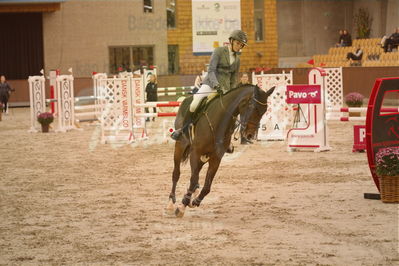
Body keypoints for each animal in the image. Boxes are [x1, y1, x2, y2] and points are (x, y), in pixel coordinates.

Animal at [166, 84, 276, 217]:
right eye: (252, 106)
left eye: (264, 110)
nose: (250, 135)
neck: (219, 119)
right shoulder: (195, 153)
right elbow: (192, 180)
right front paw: (182, 206)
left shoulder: (216, 158)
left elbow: (207, 186)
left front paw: (195, 200)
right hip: (180, 146)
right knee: (176, 174)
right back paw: (171, 203)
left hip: (203, 157)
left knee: (195, 174)